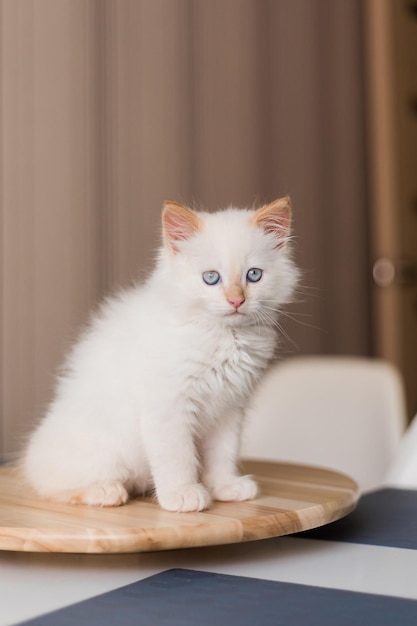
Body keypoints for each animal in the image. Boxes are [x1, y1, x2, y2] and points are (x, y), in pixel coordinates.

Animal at [22, 197, 298, 510]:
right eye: (211, 278)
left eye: (254, 275)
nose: (236, 300)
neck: (225, 336)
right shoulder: (168, 404)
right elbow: (177, 457)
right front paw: (183, 494)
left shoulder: (230, 408)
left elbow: (223, 454)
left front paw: (226, 487)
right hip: (97, 452)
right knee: (52, 485)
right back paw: (107, 492)